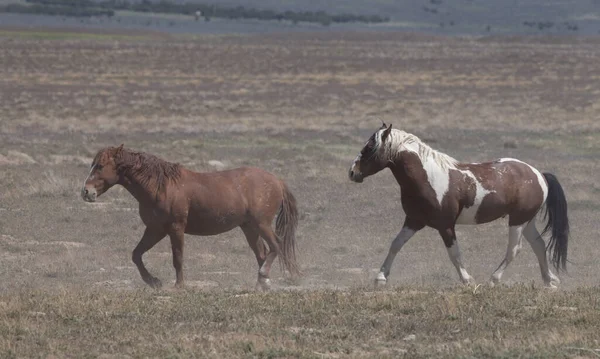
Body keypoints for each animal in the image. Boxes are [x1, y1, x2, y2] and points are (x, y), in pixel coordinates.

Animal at [82, 145, 300, 292]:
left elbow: (178, 257)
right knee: (262, 254)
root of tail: (277, 181)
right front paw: (154, 282)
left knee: (276, 246)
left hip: (262, 224)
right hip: (249, 228)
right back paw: (261, 284)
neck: (161, 186)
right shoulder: (155, 230)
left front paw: (179, 286)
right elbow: (136, 254)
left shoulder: (175, 228)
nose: (86, 192)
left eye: (100, 166)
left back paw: (263, 277)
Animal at [346, 125, 568, 288]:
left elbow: (454, 253)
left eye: (370, 148)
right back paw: (549, 281)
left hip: (518, 221)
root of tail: (538, 174)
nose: (352, 172)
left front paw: (467, 280)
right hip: (526, 221)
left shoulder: (445, 225)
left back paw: (494, 279)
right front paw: (380, 277)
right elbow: (396, 244)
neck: (428, 178)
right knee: (539, 245)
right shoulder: (414, 220)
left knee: (515, 249)